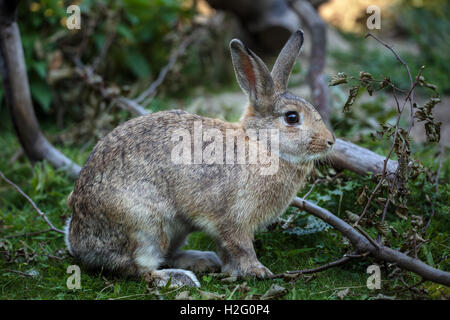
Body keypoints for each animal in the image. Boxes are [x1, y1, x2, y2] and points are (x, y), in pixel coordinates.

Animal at [65, 30, 336, 288]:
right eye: (292, 118)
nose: (331, 141)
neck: (262, 144)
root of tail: (78, 242)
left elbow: (226, 249)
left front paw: (231, 270)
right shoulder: (232, 219)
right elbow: (241, 246)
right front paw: (258, 271)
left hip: (177, 228)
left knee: (167, 255)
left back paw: (203, 260)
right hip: (145, 226)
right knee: (138, 269)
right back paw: (178, 278)